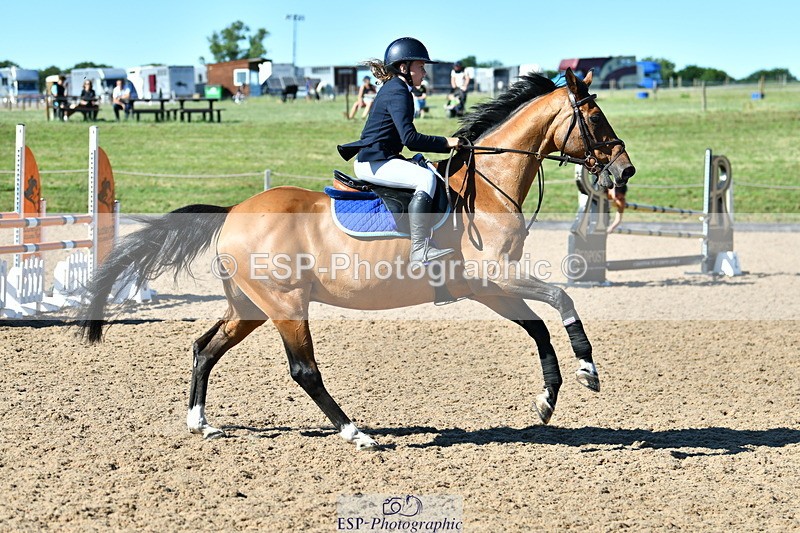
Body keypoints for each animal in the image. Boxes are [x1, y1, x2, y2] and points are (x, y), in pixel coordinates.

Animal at [78, 68, 635, 450]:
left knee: (205, 347)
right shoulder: (495, 276)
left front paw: (547, 400)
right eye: (595, 117)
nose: (624, 171)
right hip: (286, 305)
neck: (486, 190)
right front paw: (588, 368)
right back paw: (355, 433)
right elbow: (560, 298)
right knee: (304, 369)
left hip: (251, 307)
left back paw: (200, 422)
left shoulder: (486, 287)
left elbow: (538, 327)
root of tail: (233, 212)